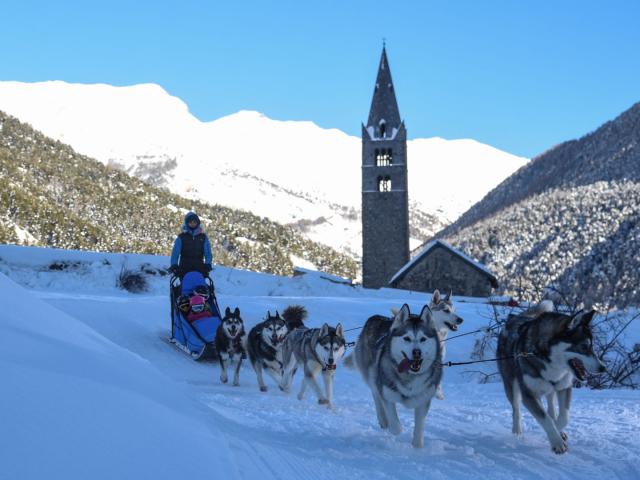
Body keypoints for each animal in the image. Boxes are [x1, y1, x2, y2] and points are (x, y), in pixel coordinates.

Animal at [356, 306, 440, 448]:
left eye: (423, 339)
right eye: (407, 338)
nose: (417, 352)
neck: (410, 377)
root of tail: (375, 317)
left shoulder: (424, 399)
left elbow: (419, 427)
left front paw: (417, 446)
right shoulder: (387, 393)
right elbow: (396, 426)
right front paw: (394, 427)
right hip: (372, 373)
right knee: (376, 394)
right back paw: (383, 420)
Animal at [498, 304, 608, 454]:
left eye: (592, 346)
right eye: (584, 347)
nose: (603, 368)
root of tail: (514, 317)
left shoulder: (564, 387)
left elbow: (564, 417)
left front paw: (558, 430)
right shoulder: (529, 395)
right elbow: (546, 419)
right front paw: (557, 442)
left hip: (552, 387)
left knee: (551, 403)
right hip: (512, 385)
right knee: (516, 409)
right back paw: (517, 431)